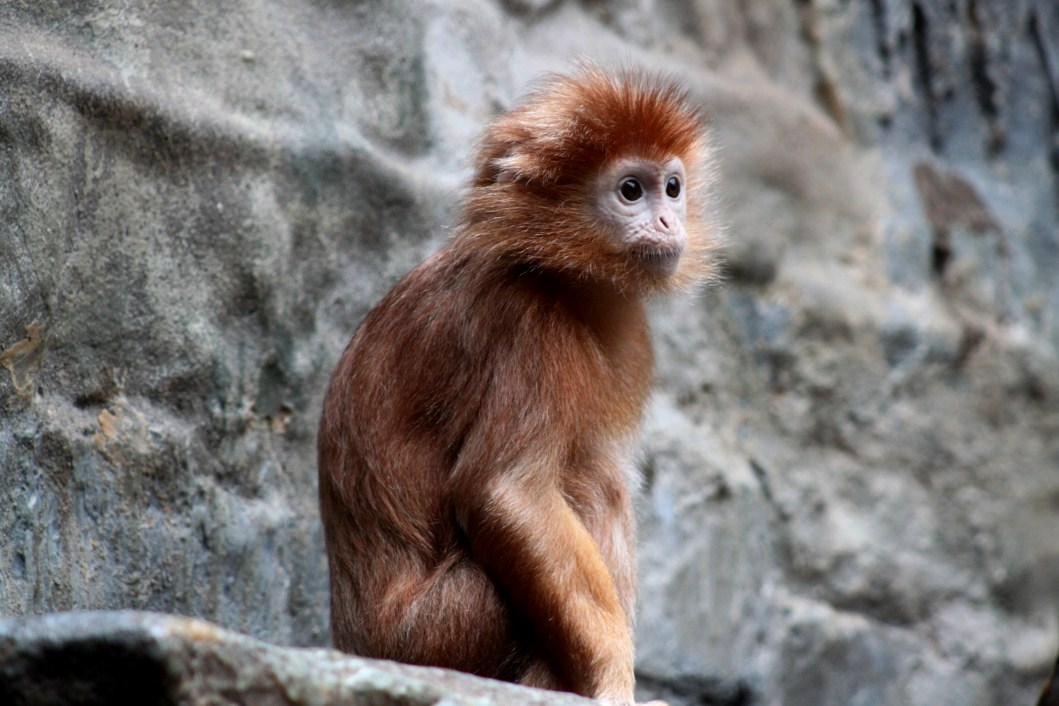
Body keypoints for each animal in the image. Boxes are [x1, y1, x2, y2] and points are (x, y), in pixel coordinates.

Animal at [317, 66, 717, 706]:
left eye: (672, 188)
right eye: (632, 191)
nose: (666, 220)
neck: (549, 272)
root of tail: (353, 644)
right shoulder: (529, 326)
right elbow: (507, 490)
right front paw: (613, 684)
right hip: (439, 632)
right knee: (593, 483)